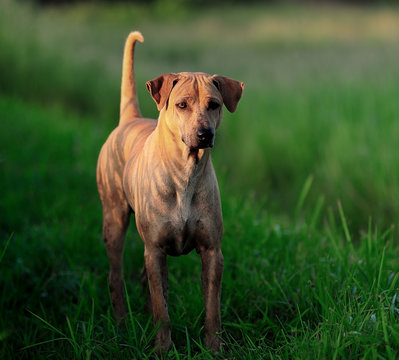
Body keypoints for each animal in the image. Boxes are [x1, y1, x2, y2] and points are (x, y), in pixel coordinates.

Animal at [97, 31, 244, 352]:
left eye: (214, 104)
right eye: (182, 105)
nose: (204, 134)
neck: (185, 173)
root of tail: (129, 119)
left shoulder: (212, 252)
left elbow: (212, 309)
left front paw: (214, 349)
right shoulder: (154, 250)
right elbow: (163, 312)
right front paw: (162, 349)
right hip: (114, 218)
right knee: (116, 275)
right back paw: (121, 322)